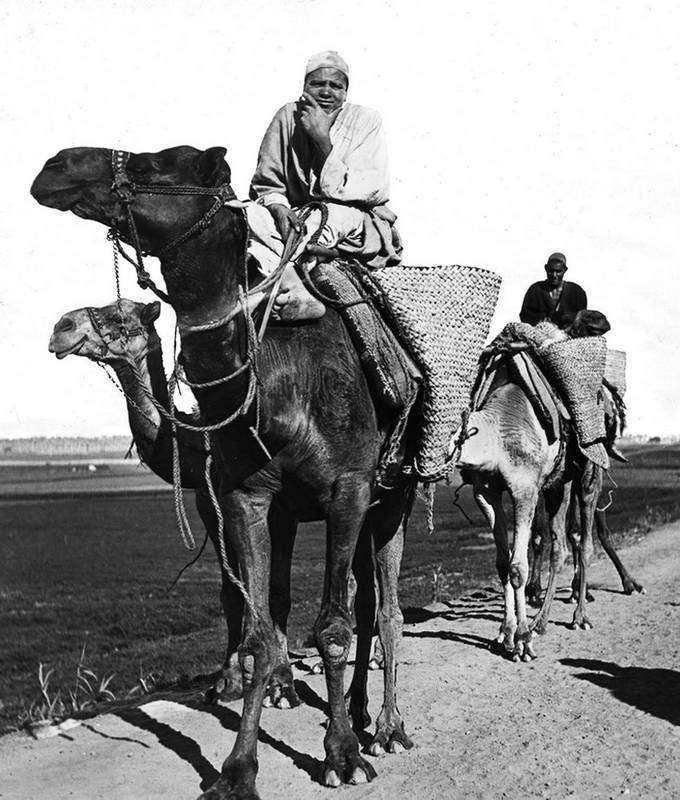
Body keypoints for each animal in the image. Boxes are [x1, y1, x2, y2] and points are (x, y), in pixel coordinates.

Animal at [34, 145, 418, 800]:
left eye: (160, 162)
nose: (58, 164)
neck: (277, 392)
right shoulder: (243, 499)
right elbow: (258, 617)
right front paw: (239, 764)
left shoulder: (347, 489)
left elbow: (332, 627)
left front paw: (341, 755)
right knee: (357, 601)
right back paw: (360, 711)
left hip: (394, 495)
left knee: (383, 608)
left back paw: (388, 728)